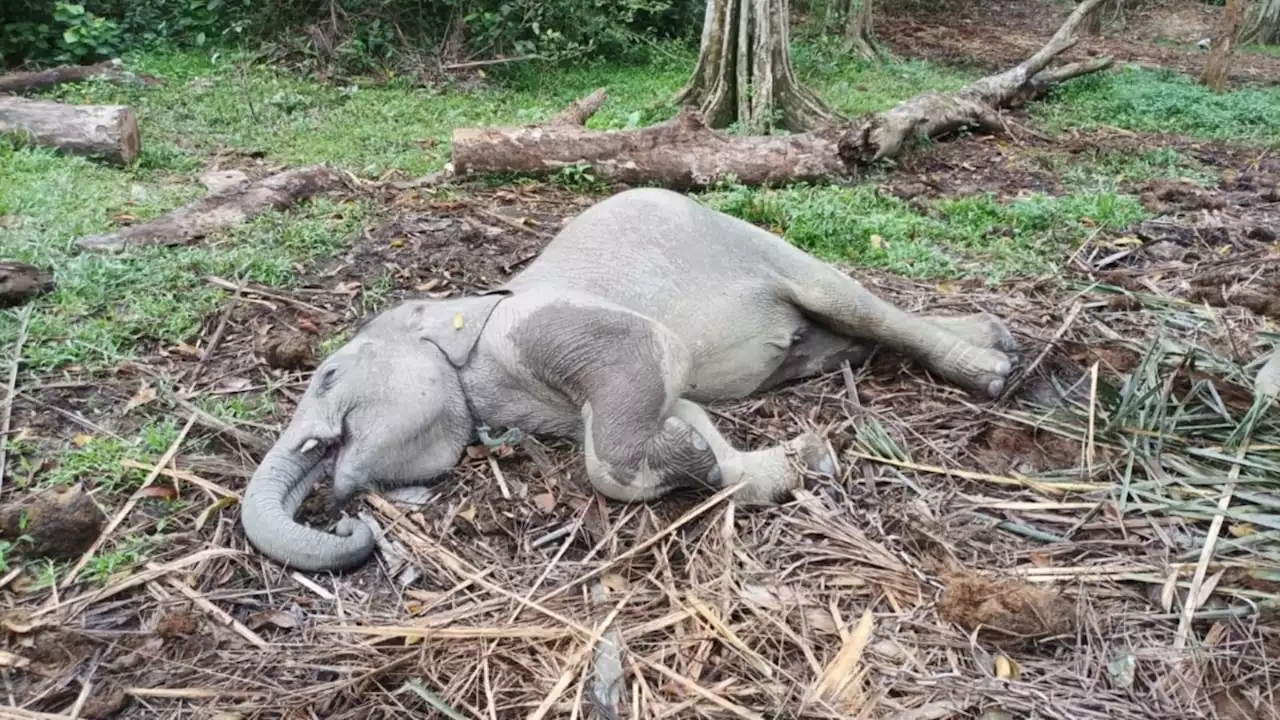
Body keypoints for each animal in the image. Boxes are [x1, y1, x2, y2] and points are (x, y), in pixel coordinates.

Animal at [240, 188, 1018, 568]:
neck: (465, 307)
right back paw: (987, 339)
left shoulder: (556, 325)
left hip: (762, 245)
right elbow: (681, 410)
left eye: (328, 374)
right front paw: (785, 458)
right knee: (848, 339)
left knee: (855, 304)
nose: (351, 522)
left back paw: (995, 370)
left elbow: (645, 375)